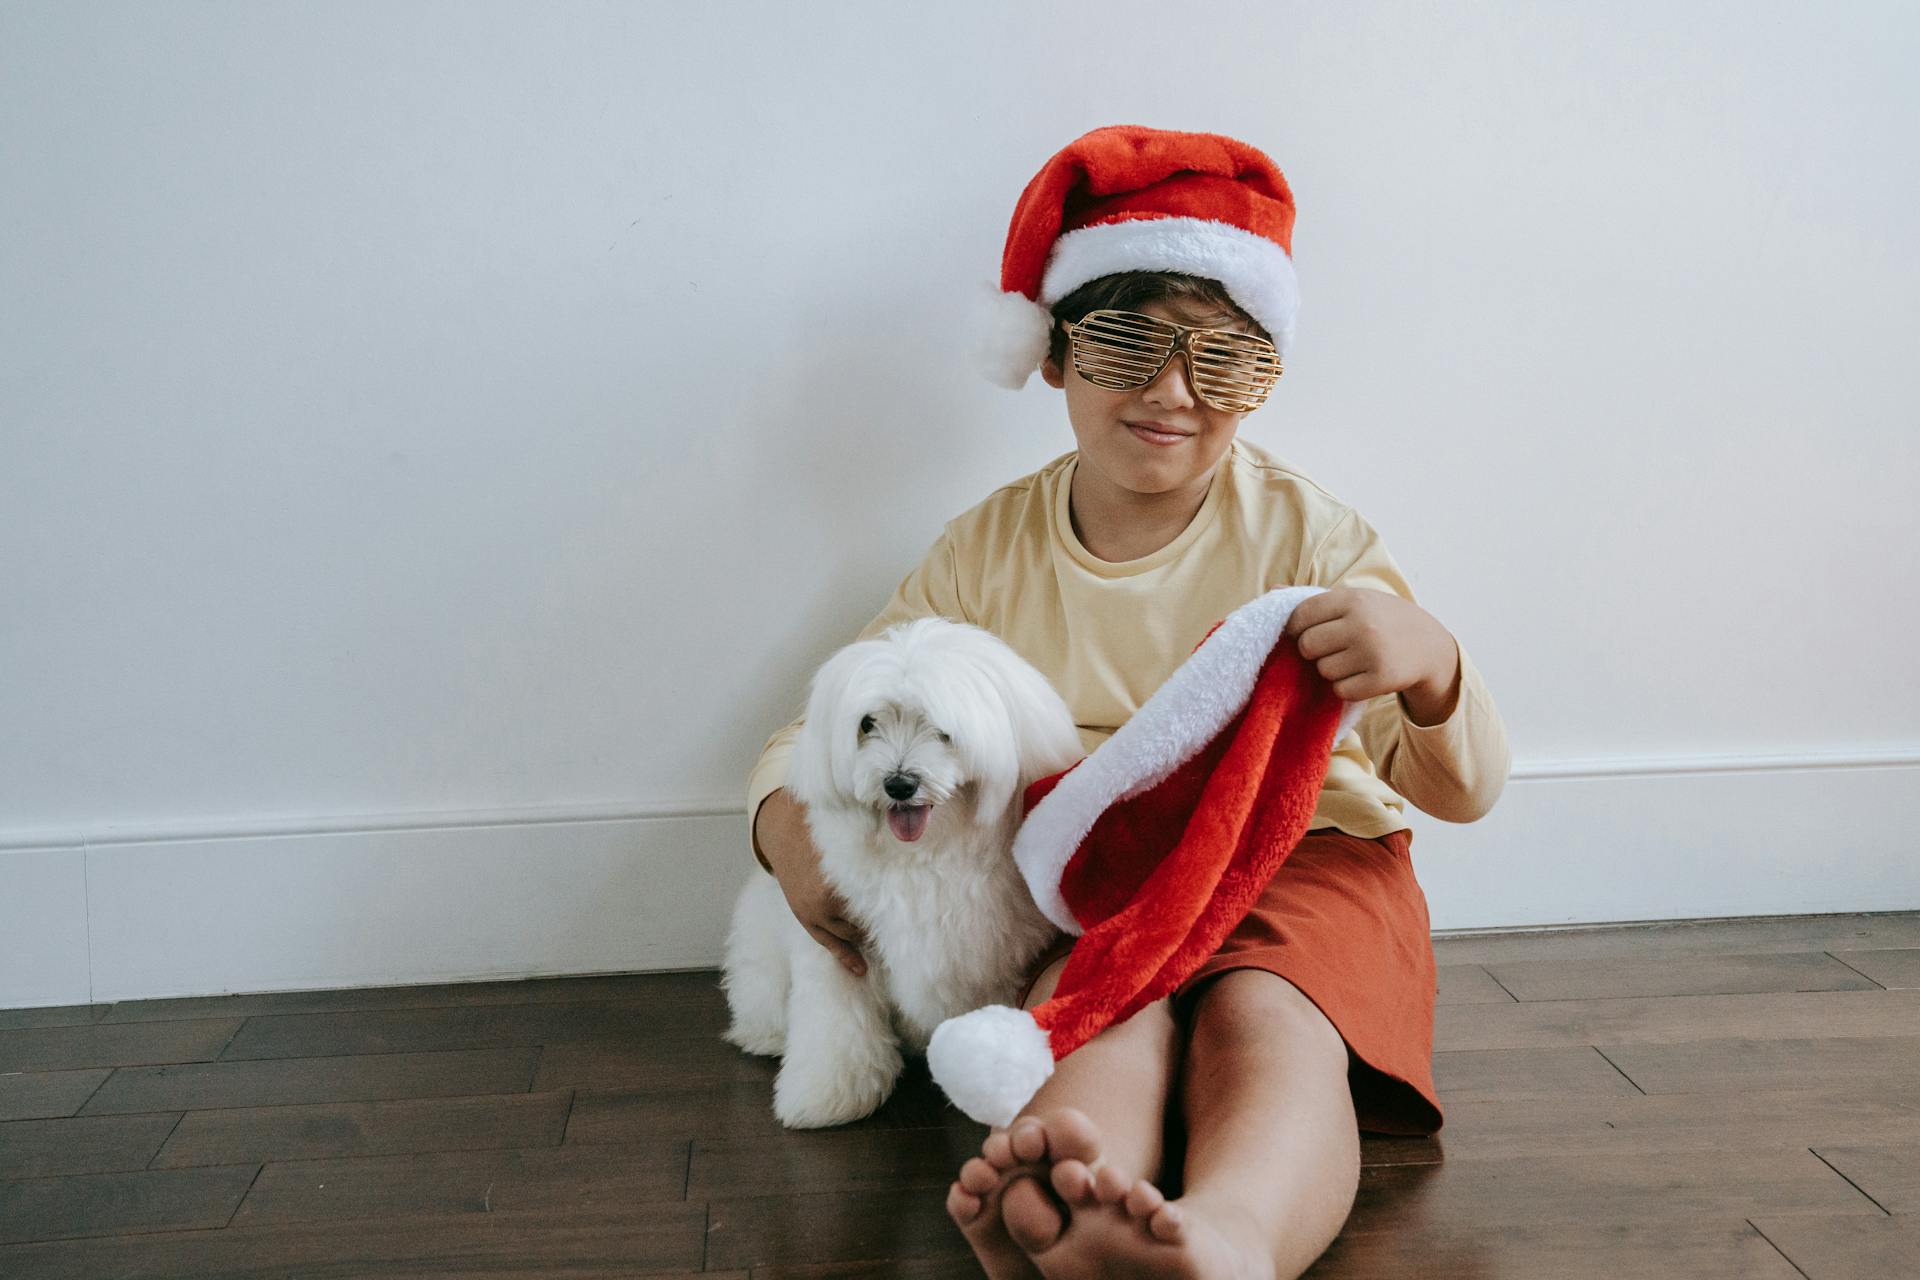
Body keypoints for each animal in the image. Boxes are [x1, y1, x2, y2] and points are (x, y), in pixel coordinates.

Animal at [721, 621, 1082, 1128]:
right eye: (867, 724)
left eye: (944, 730)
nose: (899, 783)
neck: (921, 856)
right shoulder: (839, 944)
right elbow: (836, 1025)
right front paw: (826, 1096)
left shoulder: (986, 957)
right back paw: (765, 1037)